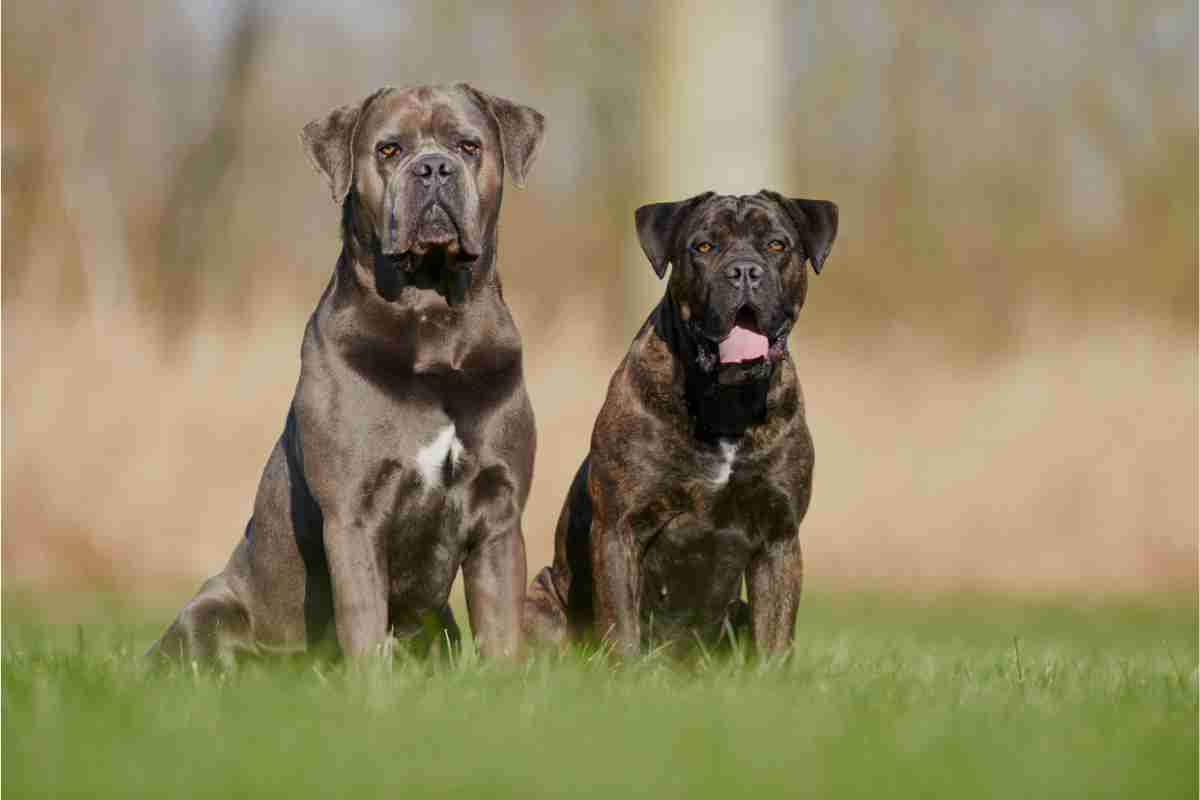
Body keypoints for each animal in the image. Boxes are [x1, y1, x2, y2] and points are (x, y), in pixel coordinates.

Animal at [150, 84, 549, 666]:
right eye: (389, 149)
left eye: (469, 146)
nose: (433, 167)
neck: (433, 316)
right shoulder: (354, 514)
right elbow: (363, 622)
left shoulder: (498, 514)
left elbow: (500, 628)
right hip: (210, 609)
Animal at [520, 190, 840, 662]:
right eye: (703, 247)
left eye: (777, 245)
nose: (744, 271)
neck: (726, 401)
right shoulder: (620, 529)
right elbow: (622, 626)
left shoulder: (779, 538)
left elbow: (776, 635)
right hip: (539, 600)